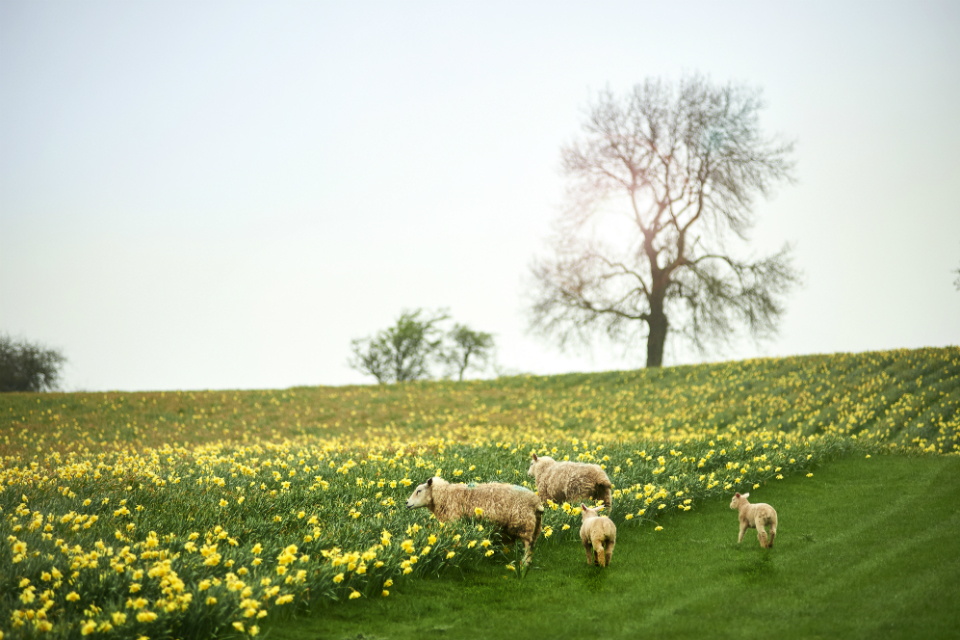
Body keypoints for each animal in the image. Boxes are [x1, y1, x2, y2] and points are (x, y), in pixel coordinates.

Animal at [402, 478, 544, 564]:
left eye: (419, 491)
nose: (407, 503)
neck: (446, 496)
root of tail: (537, 503)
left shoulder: (454, 521)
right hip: (535, 526)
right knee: (531, 544)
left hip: (524, 523)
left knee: (528, 545)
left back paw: (524, 563)